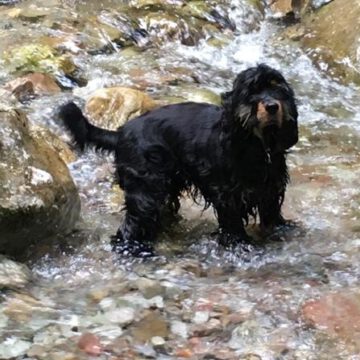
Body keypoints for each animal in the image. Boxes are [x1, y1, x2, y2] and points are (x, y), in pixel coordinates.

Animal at [59, 64, 298, 256]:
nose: (272, 106)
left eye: (278, 88)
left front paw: (281, 229)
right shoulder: (227, 194)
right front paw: (240, 244)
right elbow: (232, 223)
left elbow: (271, 213)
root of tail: (121, 132)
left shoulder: (270, 188)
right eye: (251, 91)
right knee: (129, 227)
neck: (257, 145)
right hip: (145, 188)